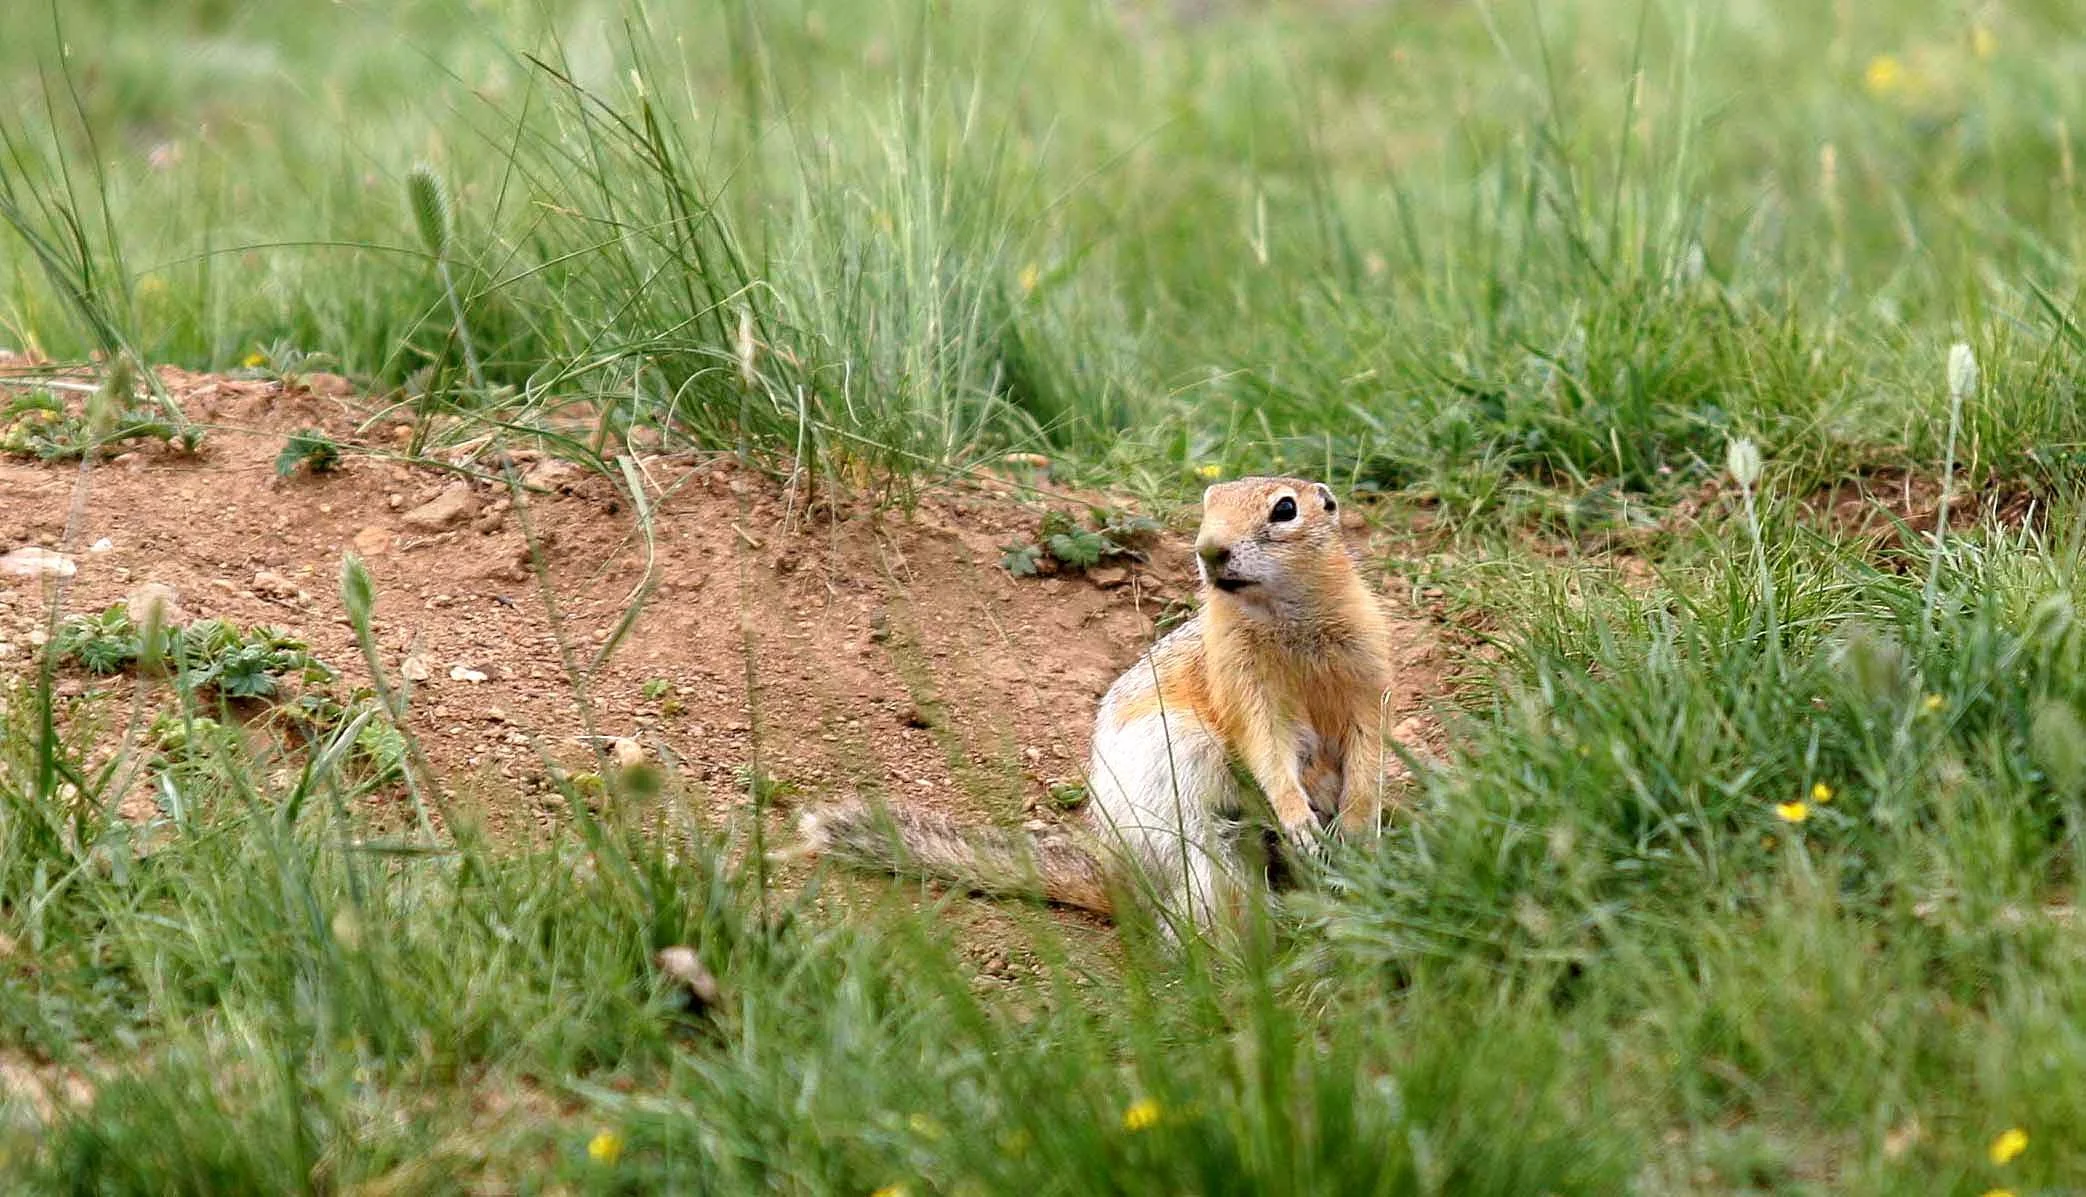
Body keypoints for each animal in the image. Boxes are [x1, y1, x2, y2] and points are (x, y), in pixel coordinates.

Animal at [797, 476, 1396, 938]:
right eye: (1207, 506)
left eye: (1285, 508)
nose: (1209, 550)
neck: (1286, 619)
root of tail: (1117, 874)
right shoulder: (1243, 684)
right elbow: (1267, 748)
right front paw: (1299, 817)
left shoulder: (1367, 670)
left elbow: (1368, 745)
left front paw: (1357, 821)